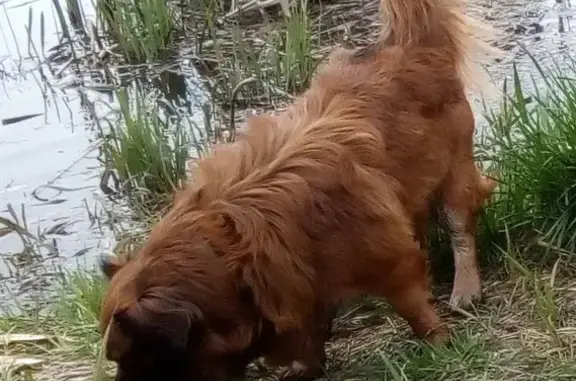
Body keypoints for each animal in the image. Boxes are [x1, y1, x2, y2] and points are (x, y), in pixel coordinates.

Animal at [100, 0, 500, 378]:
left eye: (134, 357)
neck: (232, 250)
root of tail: (406, 44)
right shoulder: (297, 279)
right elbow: (311, 326)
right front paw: (307, 365)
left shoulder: (387, 256)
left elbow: (411, 304)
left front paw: (437, 339)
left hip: (454, 170)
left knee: (460, 226)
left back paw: (465, 288)